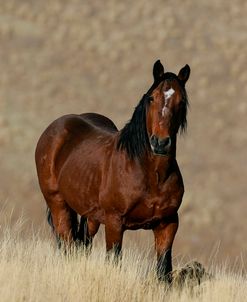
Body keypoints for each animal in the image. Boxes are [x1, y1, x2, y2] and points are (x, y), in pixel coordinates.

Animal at [34, 59, 190, 284]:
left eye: (181, 101)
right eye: (152, 98)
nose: (160, 143)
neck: (150, 175)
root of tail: (55, 127)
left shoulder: (167, 224)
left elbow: (163, 270)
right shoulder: (115, 223)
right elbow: (114, 261)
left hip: (90, 216)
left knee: (83, 244)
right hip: (58, 205)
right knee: (67, 244)